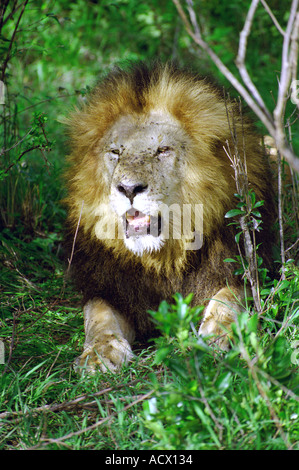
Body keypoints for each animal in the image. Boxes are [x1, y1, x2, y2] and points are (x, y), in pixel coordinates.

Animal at [64, 61, 276, 374]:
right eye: (115, 152)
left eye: (163, 150)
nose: (128, 188)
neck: (164, 259)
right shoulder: (109, 284)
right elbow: (98, 316)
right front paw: (99, 353)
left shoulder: (241, 268)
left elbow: (227, 301)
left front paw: (218, 338)